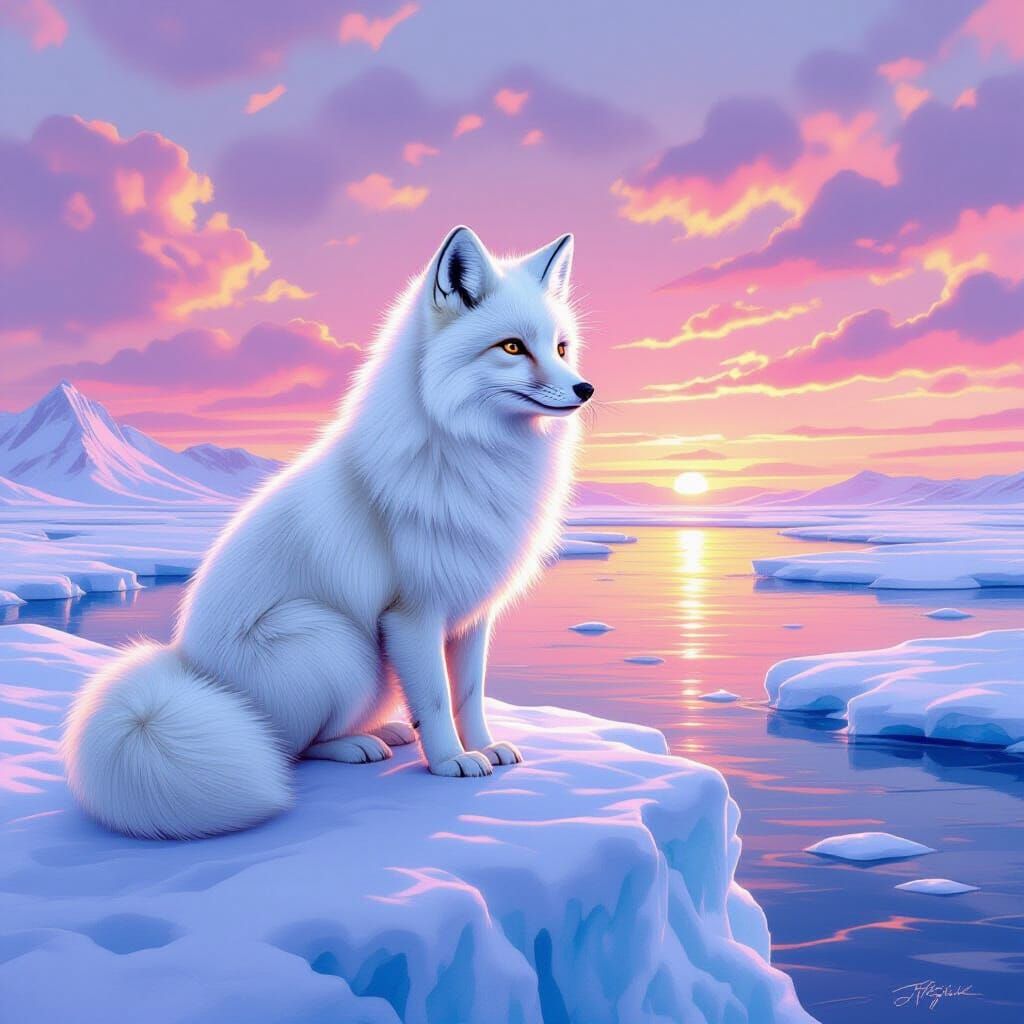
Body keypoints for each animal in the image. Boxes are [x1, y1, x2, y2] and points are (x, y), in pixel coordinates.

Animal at [62, 226, 592, 839]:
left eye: (560, 348)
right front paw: (450, 762)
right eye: (511, 348)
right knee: (289, 747)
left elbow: (470, 693)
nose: (585, 389)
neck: (474, 456)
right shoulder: (412, 614)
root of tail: (189, 668)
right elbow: (437, 699)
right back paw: (356, 745)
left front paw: (484, 747)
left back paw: (384, 732)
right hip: (338, 641)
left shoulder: (471, 612)